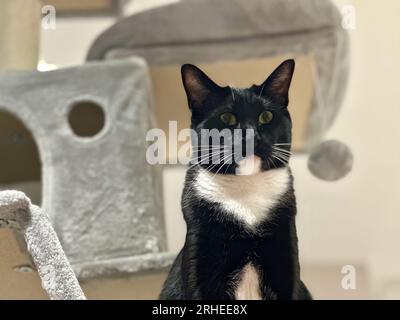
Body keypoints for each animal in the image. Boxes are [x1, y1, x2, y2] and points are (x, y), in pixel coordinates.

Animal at [160, 59, 312, 300]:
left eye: (266, 116)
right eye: (227, 118)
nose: (251, 136)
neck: (246, 191)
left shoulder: (287, 256)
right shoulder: (199, 254)